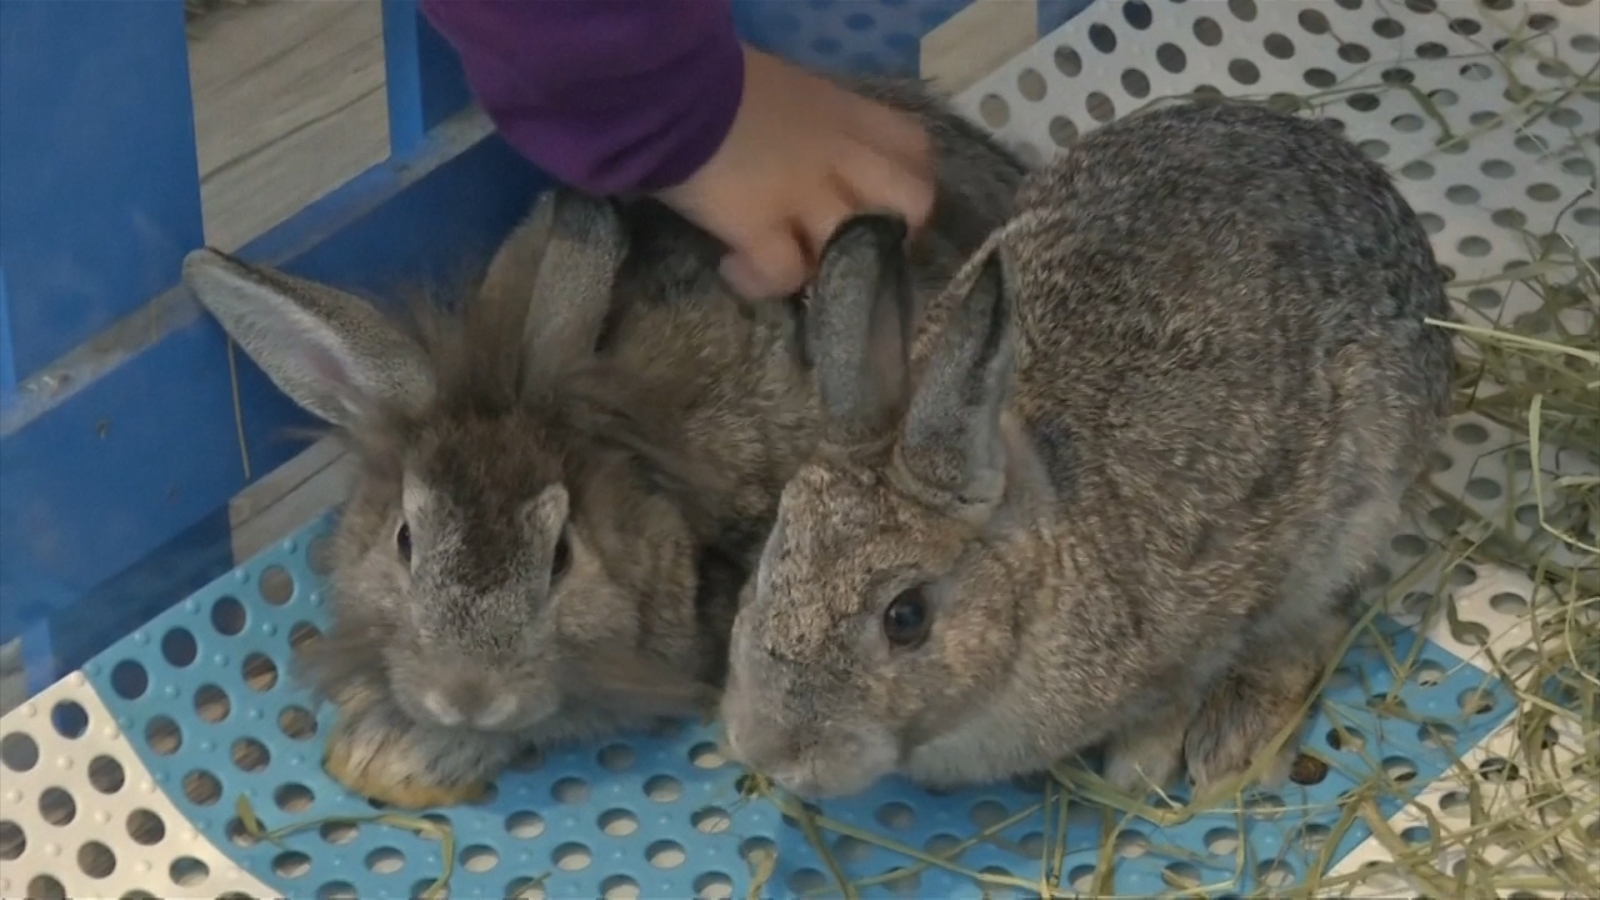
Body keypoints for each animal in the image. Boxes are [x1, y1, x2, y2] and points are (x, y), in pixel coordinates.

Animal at [718, 99, 1455, 801]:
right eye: (772, 560)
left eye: (906, 617)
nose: (770, 752)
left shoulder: (1207, 620)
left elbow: (1179, 692)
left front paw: (1139, 770)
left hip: (1359, 506)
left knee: (1320, 618)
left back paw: (1233, 743)